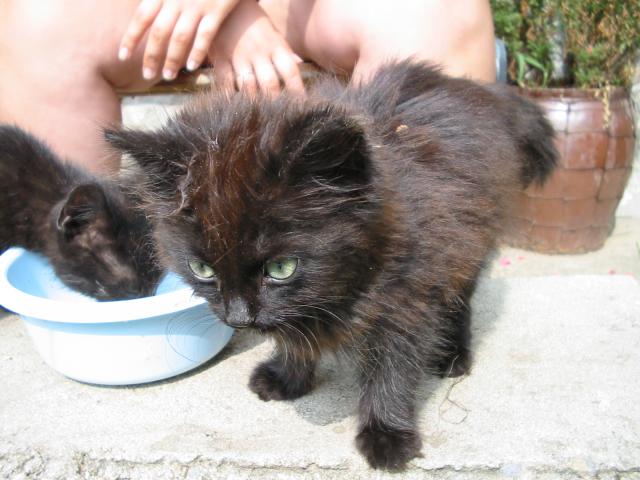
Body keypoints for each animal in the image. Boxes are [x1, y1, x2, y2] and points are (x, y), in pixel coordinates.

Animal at [106, 60, 557, 470]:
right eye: (203, 270)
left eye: (282, 268)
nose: (238, 318)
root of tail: (476, 88)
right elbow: (292, 332)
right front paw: (288, 377)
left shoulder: (409, 293)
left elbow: (392, 368)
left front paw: (387, 436)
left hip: (466, 241)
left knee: (459, 295)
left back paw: (451, 354)